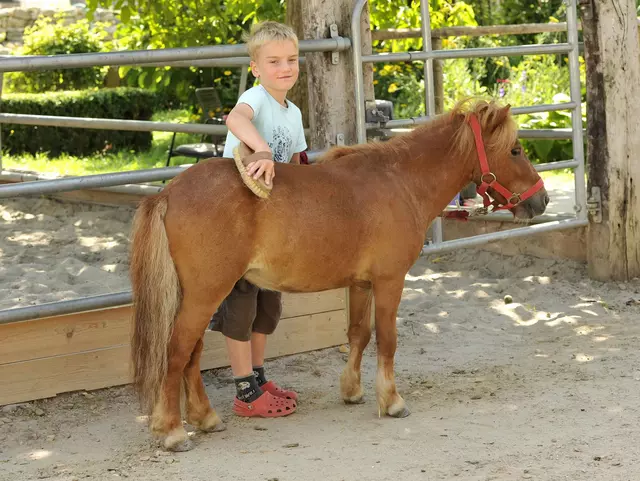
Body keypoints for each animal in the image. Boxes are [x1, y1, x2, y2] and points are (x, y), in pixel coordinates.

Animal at [130, 99, 552, 452]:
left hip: (202, 295)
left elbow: (359, 335)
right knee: (177, 352)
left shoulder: (361, 285)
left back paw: (204, 417)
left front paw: (352, 391)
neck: (401, 182)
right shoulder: (389, 282)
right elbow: (387, 340)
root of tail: (167, 193)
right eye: (515, 150)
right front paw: (391, 400)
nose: (542, 199)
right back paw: (173, 431)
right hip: (206, 293)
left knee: (192, 353)